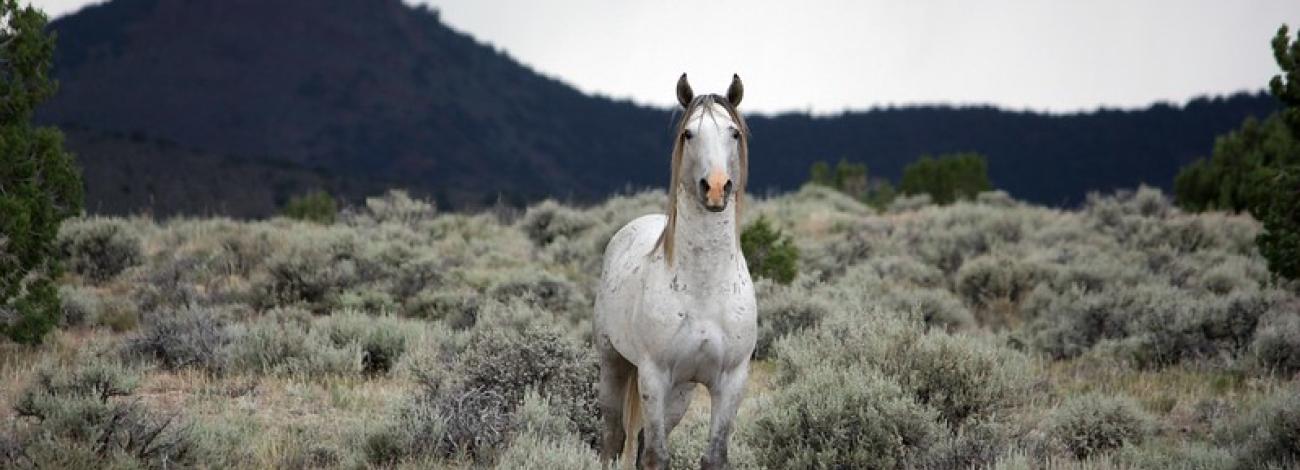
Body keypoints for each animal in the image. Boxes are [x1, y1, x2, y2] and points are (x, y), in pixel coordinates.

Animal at [595, 74, 759, 470]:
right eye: (689, 133)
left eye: (733, 132)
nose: (715, 188)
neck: (704, 288)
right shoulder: (654, 377)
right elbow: (656, 456)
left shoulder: (731, 382)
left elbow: (713, 456)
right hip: (614, 364)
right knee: (614, 438)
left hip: (682, 392)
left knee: (637, 442)